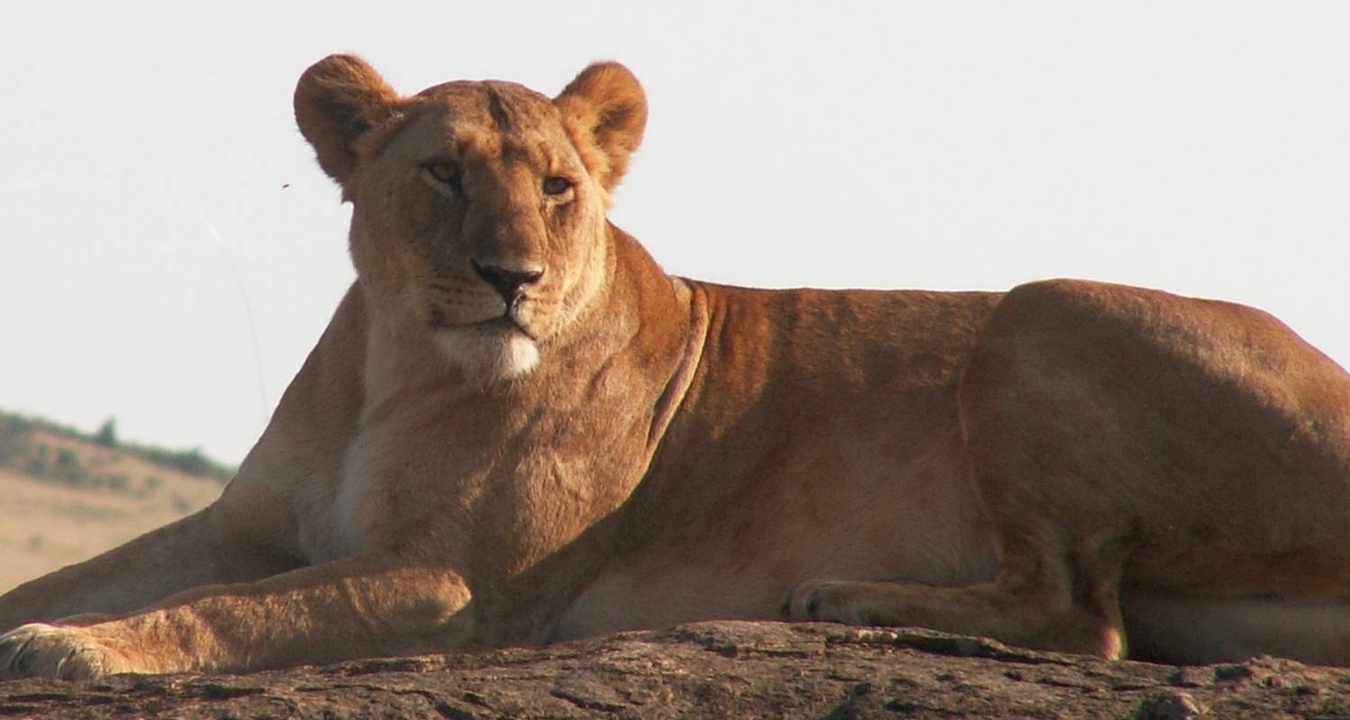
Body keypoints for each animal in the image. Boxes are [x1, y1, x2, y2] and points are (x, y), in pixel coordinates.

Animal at [3, 55, 1350, 681]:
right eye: (443, 173)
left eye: (557, 187)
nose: (511, 276)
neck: (391, 365)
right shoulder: (248, 523)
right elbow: (98, 573)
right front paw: (49, 622)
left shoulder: (460, 583)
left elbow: (234, 609)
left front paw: (75, 651)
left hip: (1037, 311)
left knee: (1079, 617)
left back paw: (839, 599)